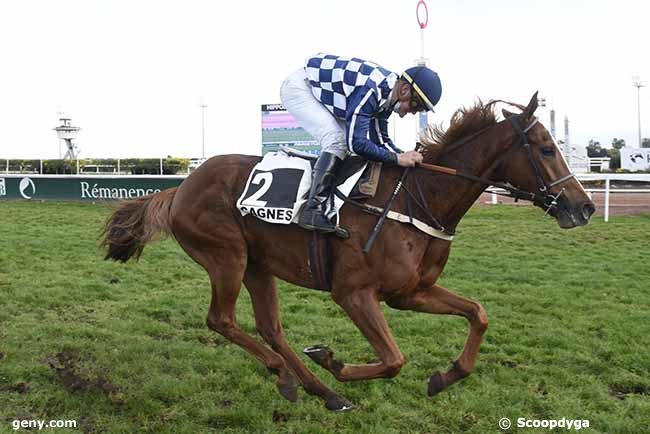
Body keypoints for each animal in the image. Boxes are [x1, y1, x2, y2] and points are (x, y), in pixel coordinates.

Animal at [100, 91, 592, 410]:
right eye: (546, 149)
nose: (584, 207)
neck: (417, 199)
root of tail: (180, 187)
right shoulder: (353, 293)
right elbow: (393, 360)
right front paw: (334, 361)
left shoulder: (410, 293)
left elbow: (479, 314)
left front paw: (445, 377)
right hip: (227, 257)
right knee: (221, 320)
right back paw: (294, 376)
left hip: (258, 264)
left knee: (270, 327)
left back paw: (320, 391)